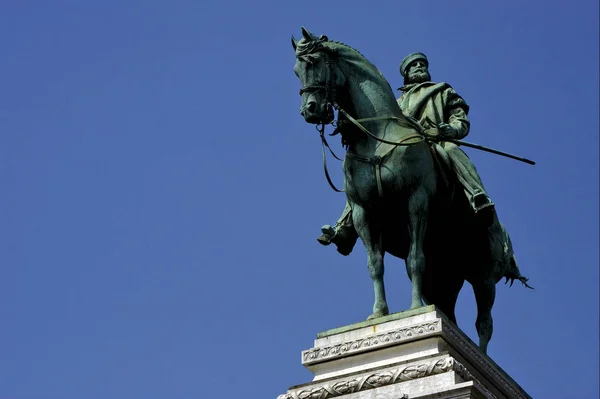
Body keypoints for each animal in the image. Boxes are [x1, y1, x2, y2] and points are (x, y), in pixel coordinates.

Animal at [290, 26, 528, 354]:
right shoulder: (364, 214)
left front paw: (414, 310)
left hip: (483, 274)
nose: (310, 110)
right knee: (448, 310)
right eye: (295, 70)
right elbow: (375, 265)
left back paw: (481, 355)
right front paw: (379, 314)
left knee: (484, 322)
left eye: (313, 62)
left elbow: (415, 258)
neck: (377, 137)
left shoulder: (415, 203)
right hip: (446, 274)